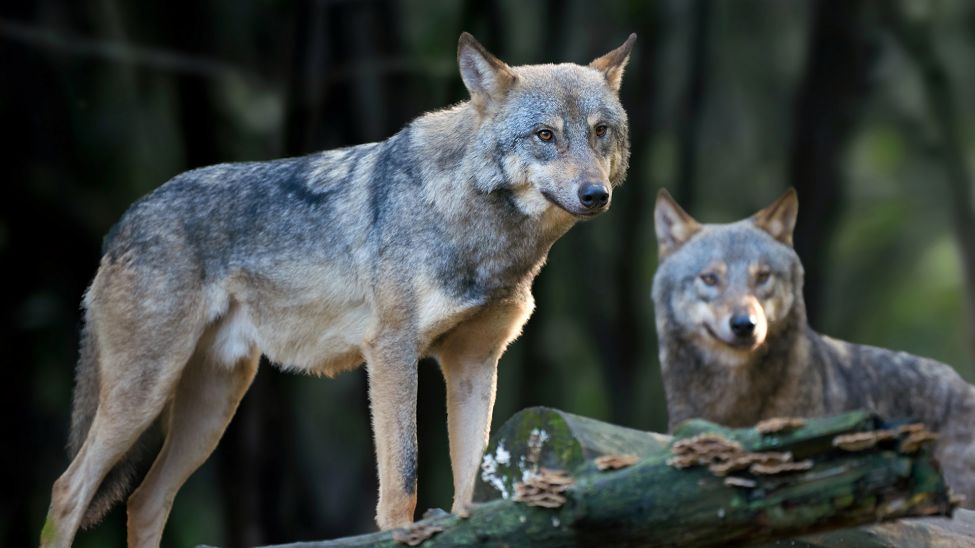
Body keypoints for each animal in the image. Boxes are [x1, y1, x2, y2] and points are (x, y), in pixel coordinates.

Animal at [42, 32, 640, 544]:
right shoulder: (392, 352)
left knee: (144, 501)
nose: (596, 195)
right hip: (145, 393)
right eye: (546, 135)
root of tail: (122, 223)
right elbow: (403, 480)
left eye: (599, 131)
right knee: (68, 489)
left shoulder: (474, 363)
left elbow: (471, 485)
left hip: (213, 407)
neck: (480, 230)